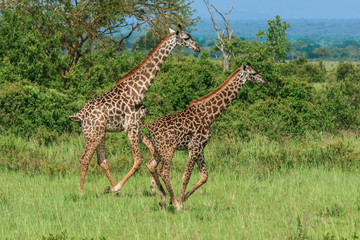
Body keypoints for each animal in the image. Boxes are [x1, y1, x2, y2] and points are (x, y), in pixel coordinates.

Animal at [69, 24, 201, 195]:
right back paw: (83, 192)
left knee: (102, 160)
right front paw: (121, 186)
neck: (140, 89)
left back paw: (114, 191)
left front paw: (152, 187)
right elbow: (138, 161)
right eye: (186, 37)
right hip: (93, 133)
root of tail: (80, 114)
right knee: (85, 158)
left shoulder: (137, 126)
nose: (198, 47)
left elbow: (152, 151)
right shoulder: (130, 126)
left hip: (100, 133)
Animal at [141, 62, 268, 210]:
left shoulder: (201, 148)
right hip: (168, 149)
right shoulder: (194, 146)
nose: (265, 80)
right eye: (253, 73)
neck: (209, 116)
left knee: (150, 165)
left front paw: (183, 198)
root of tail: (149, 127)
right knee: (164, 171)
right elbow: (186, 176)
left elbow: (204, 176)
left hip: (158, 150)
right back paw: (174, 202)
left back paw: (163, 200)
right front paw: (179, 203)